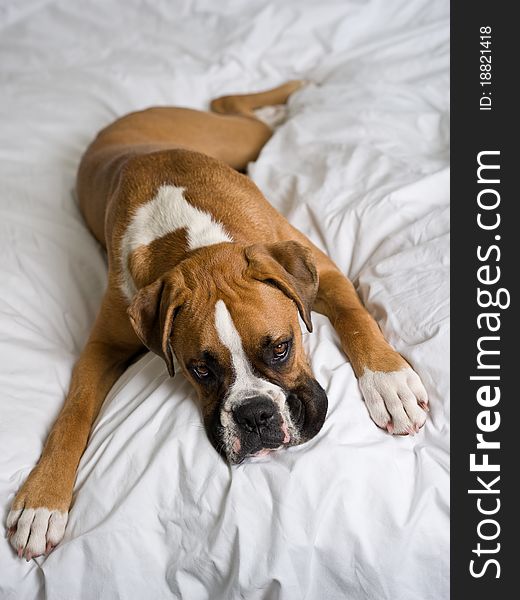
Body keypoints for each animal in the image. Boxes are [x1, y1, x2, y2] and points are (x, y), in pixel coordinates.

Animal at [8, 79, 428, 556]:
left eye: (281, 349)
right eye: (200, 370)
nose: (255, 416)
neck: (194, 245)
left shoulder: (326, 273)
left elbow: (357, 318)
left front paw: (390, 384)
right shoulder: (103, 346)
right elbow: (74, 412)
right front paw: (41, 502)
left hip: (239, 136)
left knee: (232, 106)